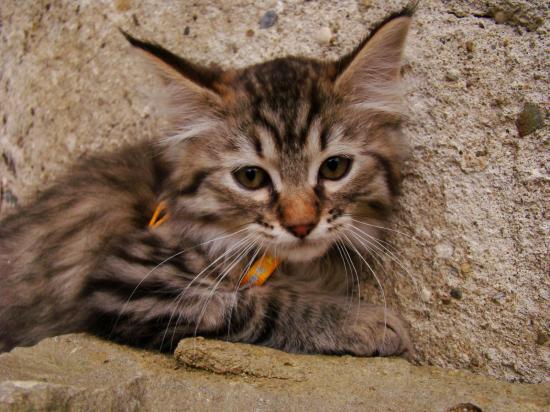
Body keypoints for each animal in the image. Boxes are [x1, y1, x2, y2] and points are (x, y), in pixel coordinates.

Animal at [0, 7, 414, 357]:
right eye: (250, 177)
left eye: (334, 168)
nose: (301, 225)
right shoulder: (131, 281)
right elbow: (259, 303)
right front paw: (360, 319)